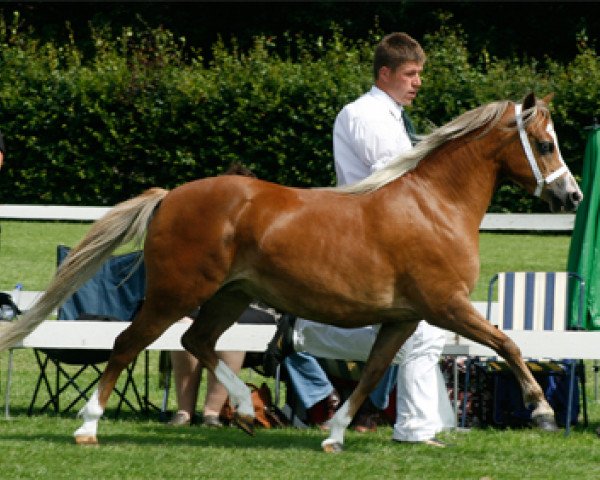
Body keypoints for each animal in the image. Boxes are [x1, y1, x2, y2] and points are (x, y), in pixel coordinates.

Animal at [0, 92, 580, 452]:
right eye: (546, 144)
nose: (571, 195)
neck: (433, 206)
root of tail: (169, 197)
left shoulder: (404, 319)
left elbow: (372, 373)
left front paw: (336, 435)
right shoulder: (447, 306)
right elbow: (507, 343)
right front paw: (543, 413)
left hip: (229, 296)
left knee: (196, 341)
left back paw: (241, 407)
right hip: (175, 293)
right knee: (127, 344)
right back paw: (88, 427)